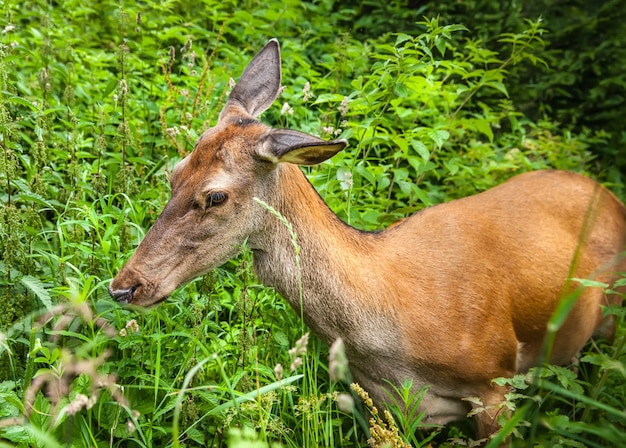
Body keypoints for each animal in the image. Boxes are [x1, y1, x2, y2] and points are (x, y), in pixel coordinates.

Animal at [109, 39, 624, 440]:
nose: (124, 286)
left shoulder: (495, 380)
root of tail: (607, 193)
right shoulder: (381, 408)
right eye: (174, 173)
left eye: (215, 196)